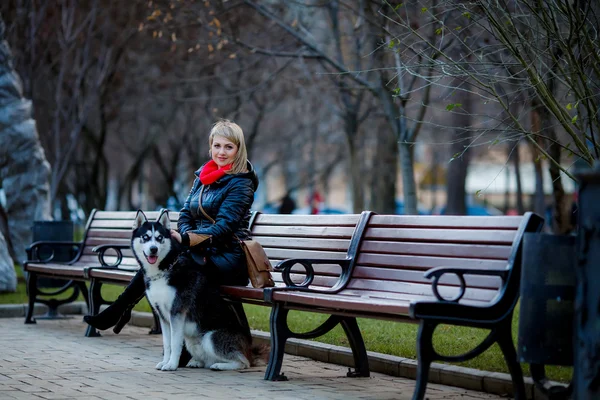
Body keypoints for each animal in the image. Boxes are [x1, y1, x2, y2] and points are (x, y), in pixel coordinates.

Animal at [132, 209, 258, 372]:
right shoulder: (163, 316)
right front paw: (165, 362)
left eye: (159, 238)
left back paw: (220, 365)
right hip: (191, 341)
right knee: (206, 359)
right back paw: (198, 362)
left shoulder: (177, 313)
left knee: (244, 362)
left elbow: (174, 343)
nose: (153, 249)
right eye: (145, 237)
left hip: (210, 337)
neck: (165, 268)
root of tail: (248, 347)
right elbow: (167, 343)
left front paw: (171, 365)